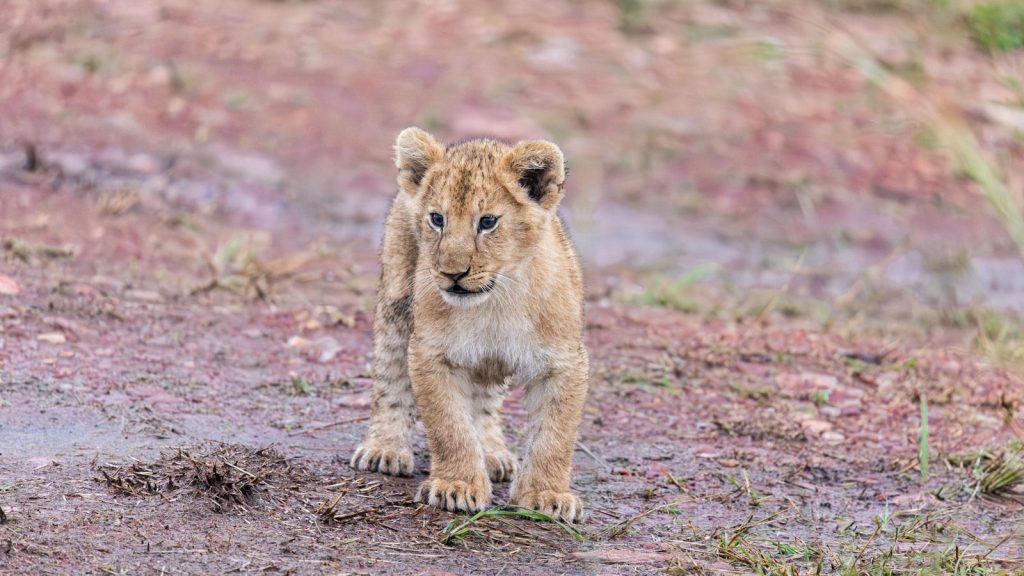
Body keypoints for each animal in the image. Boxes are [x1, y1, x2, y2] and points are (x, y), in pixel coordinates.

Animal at [350, 127, 589, 523]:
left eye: (488, 222)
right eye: (437, 218)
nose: (452, 273)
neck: (495, 304)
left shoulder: (564, 361)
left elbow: (555, 435)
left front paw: (547, 495)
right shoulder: (431, 353)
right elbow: (450, 427)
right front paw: (457, 486)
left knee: (485, 403)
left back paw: (491, 454)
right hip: (397, 303)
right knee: (390, 377)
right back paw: (385, 448)